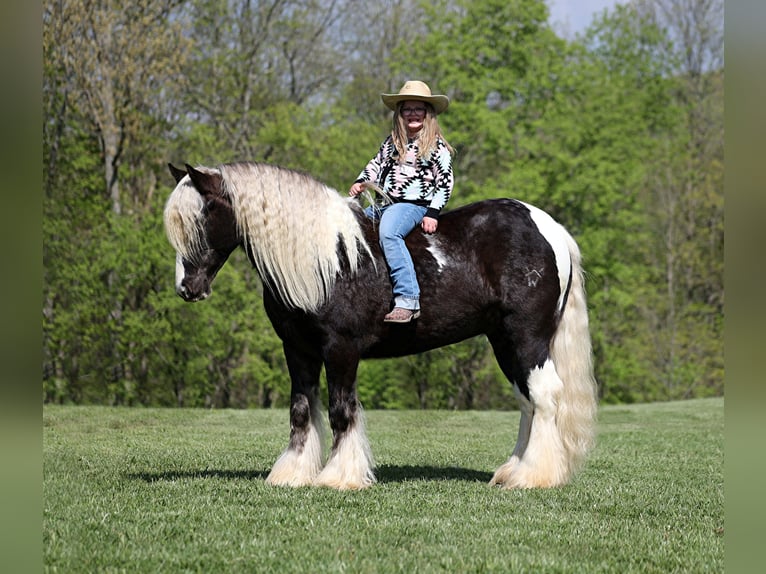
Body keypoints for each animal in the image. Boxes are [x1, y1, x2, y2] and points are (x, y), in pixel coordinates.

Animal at [163, 161, 598, 490]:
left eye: (202, 215)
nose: (187, 287)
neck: (328, 259)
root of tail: (550, 229)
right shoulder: (298, 349)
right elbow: (301, 410)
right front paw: (292, 474)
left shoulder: (341, 348)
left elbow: (341, 410)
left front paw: (338, 477)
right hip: (504, 340)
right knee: (527, 401)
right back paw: (512, 471)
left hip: (527, 337)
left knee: (545, 395)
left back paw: (534, 476)